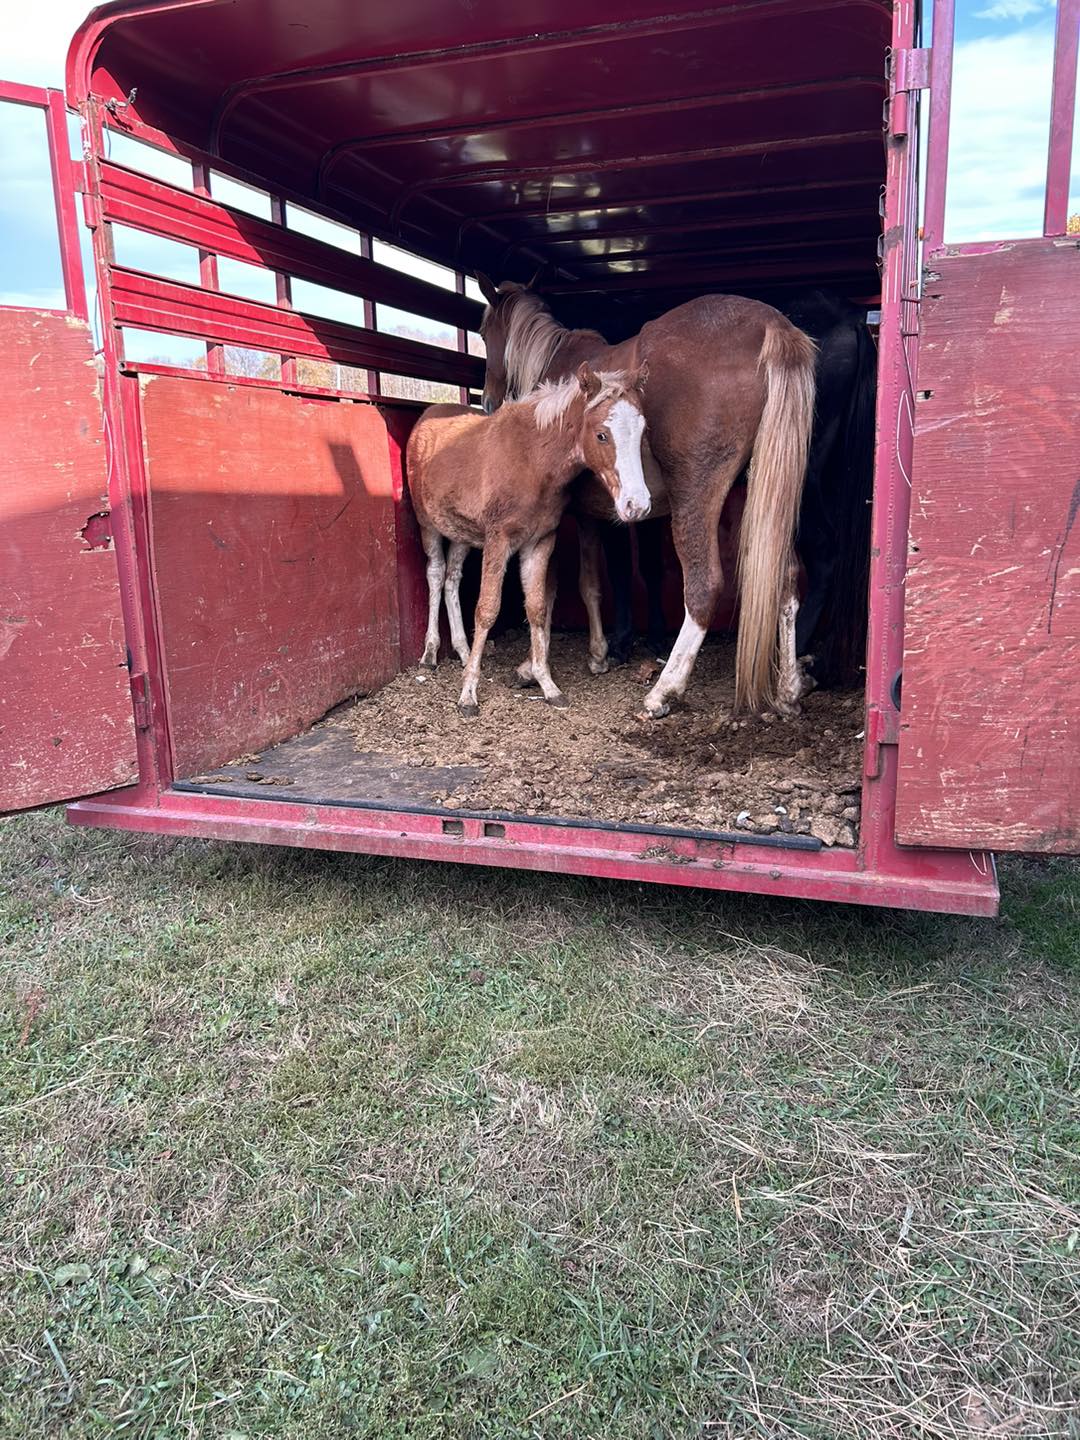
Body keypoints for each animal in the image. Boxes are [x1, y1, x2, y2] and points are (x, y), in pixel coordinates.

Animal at [405, 363, 650, 716]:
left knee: (452, 578)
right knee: (436, 574)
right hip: (429, 525)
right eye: (602, 434)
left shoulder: (540, 541)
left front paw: (547, 685)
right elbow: (487, 609)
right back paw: (429, 653)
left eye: (643, 431)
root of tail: (427, 416)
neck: (532, 460)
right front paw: (468, 694)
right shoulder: (498, 539)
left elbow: (536, 606)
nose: (637, 505)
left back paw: (463, 651)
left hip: (463, 532)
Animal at [477, 276, 817, 717]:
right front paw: (601, 651)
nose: (486, 400)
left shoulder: (564, 515)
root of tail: (768, 323)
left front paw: (540, 664)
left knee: (704, 587)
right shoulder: (609, 515)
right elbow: (600, 579)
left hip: (696, 495)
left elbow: (550, 586)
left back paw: (665, 690)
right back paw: (790, 688)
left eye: (483, 332)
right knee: (787, 579)